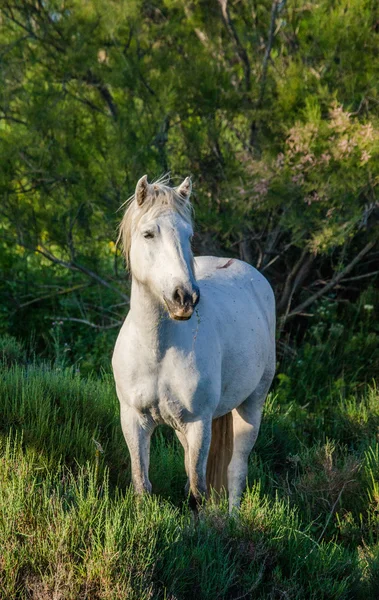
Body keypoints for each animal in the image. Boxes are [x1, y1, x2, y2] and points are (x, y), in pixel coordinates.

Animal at [113, 175, 276, 510]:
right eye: (148, 234)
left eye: (188, 236)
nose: (184, 297)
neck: (158, 350)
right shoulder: (134, 420)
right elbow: (142, 484)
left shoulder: (199, 423)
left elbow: (197, 491)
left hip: (251, 405)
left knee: (236, 469)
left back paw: (233, 517)